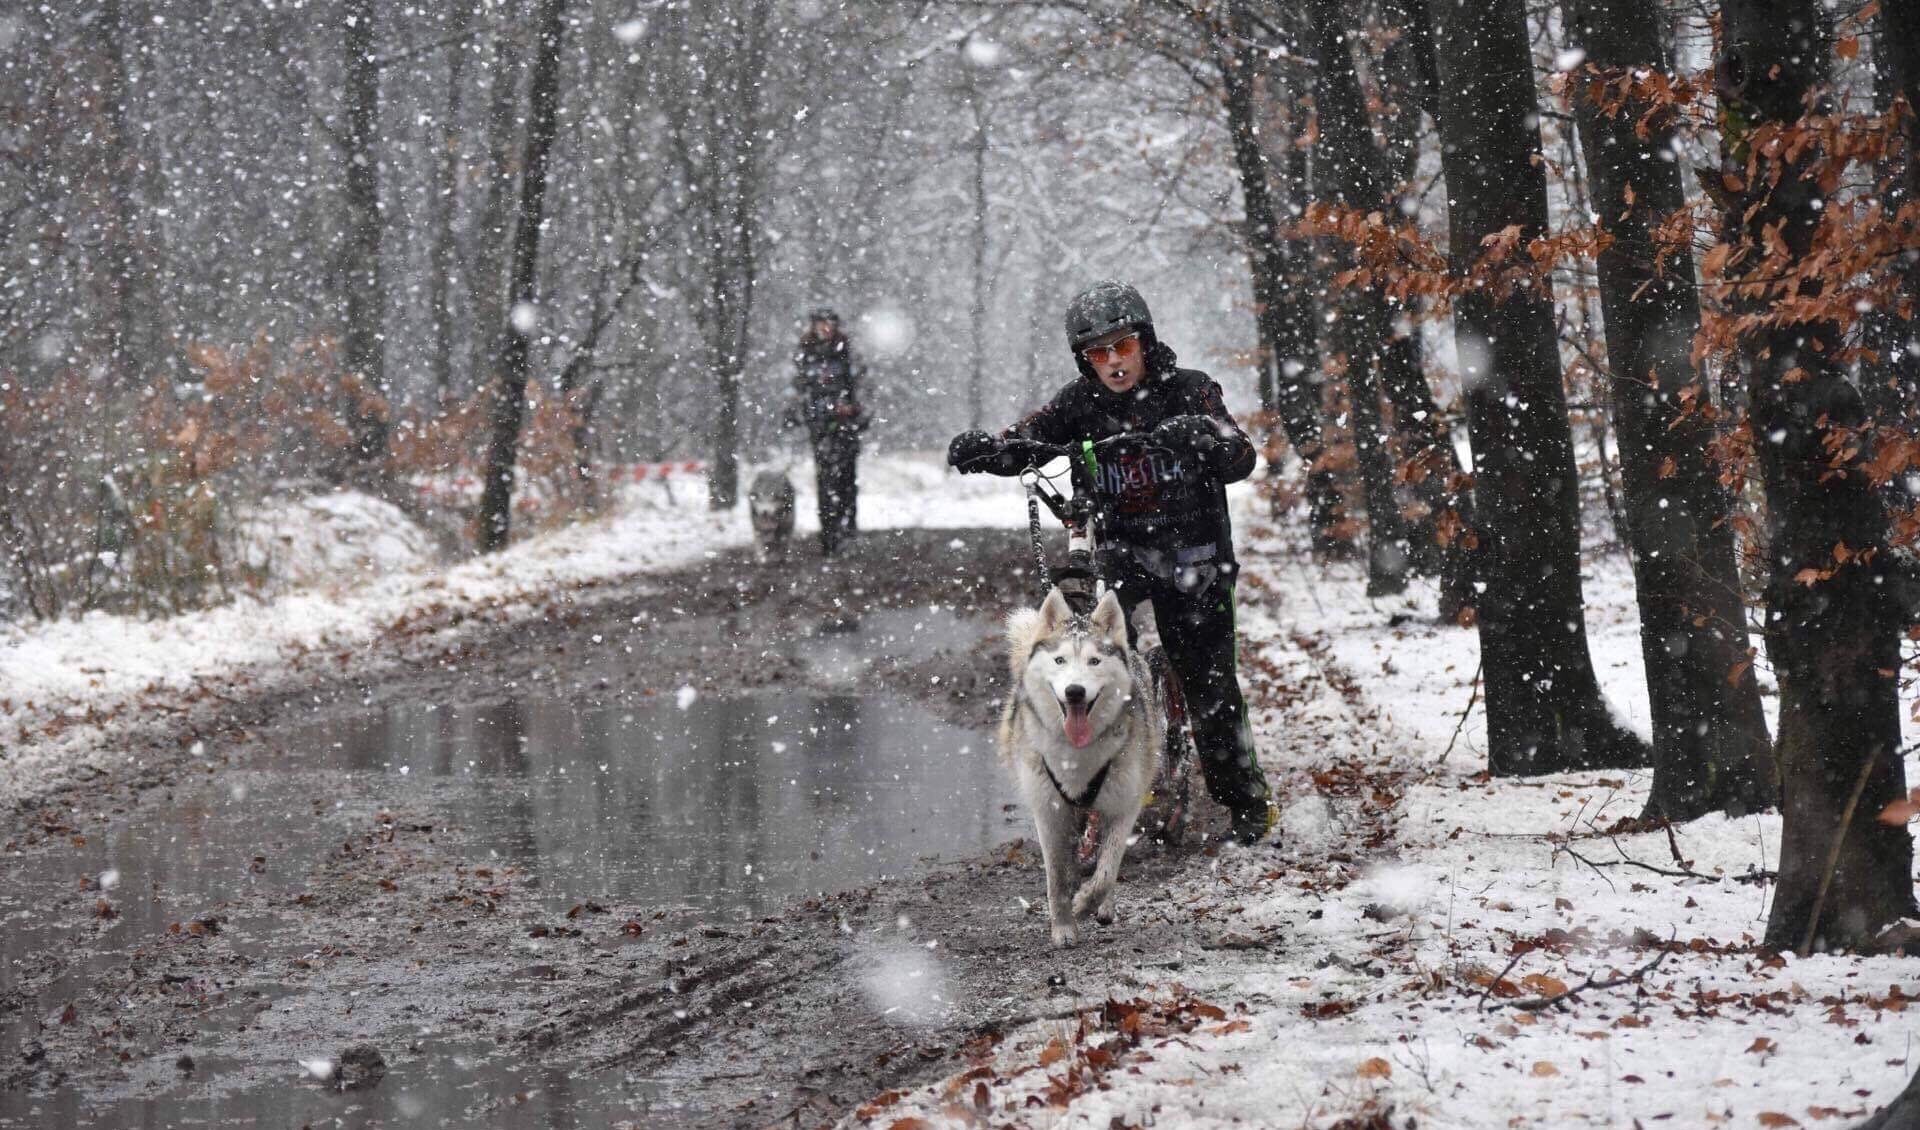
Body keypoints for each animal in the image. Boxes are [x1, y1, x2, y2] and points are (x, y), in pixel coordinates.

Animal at [998, 587, 1159, 947]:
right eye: (1059, 660)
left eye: (1094, 661)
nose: (1074, 691)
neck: (1076, 755)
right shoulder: (1048, 810)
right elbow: (1057, 877)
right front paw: (1063, 927)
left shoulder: (1125, 804)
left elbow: (1107, 871)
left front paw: (1085, 903)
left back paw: (1102, 906)